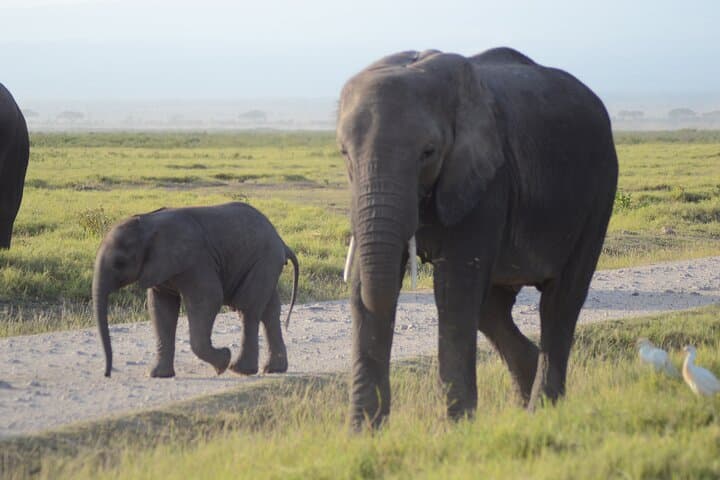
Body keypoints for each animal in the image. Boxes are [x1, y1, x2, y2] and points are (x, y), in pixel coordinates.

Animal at [93, 202, 299, 378]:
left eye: (119, 263)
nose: (107, 373)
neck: (147, 224)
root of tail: (281, 241)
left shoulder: (196, 261)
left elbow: (208, 299)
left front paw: (222, 362)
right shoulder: (161, 268)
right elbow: (160, 308)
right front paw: (157, 375)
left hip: (264, 261)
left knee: (247, 309)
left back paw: (239, 370)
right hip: (265, 264)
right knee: (269, 311)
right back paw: (273, 369)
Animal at [337, 47, 618, 429]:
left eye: (428, 152)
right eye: (344, 152)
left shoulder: (488, 181)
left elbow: (454, 290)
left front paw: (456, 431)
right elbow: (366, 286)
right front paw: (363, 434)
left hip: (599, 192)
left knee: (560, 300)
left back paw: (541, 410)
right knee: (492, 309)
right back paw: (526, 400)